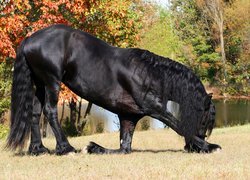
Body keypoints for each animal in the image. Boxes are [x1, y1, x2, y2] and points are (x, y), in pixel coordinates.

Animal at [5, 24, 221, 155]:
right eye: (205, 119)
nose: (191, 148)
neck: (148, 73)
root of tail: (30, 40)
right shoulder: (154, 108)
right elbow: (177, 124)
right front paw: (210, 146)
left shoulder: (128, 117)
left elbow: (124, 147)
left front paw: (94, 147)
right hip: (51, 81)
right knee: (50, 111)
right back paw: (66, 148)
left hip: (39, 83)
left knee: (35, 113)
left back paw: (38, 149)